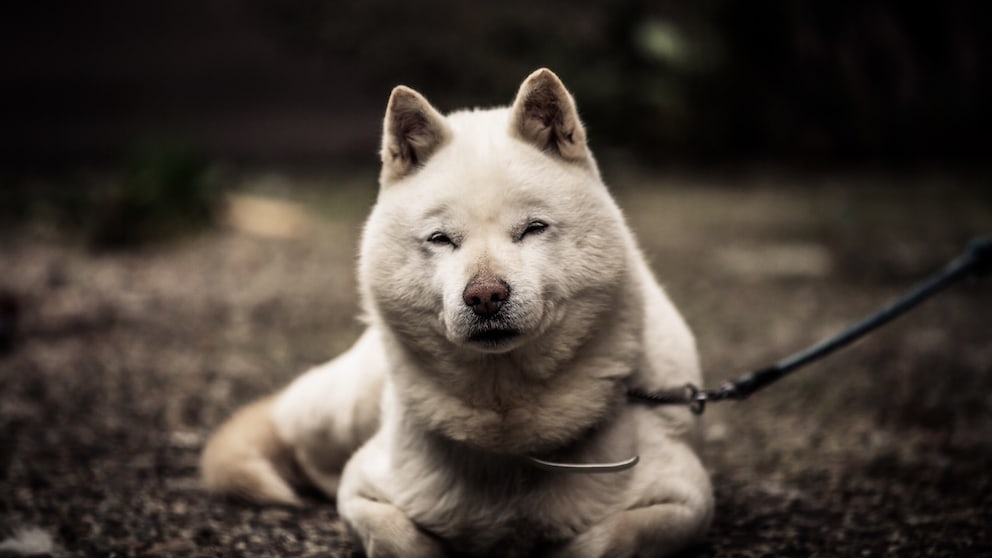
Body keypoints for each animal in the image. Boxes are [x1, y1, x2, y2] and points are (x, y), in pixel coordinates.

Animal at [203, 68, 712, 556]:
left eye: (533, 229)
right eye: (441, 238)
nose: (485, 296)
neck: (507, 432)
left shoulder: (686, 500)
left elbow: (606, 539)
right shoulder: (361, 489)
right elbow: (397, 536)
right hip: (335, 412)